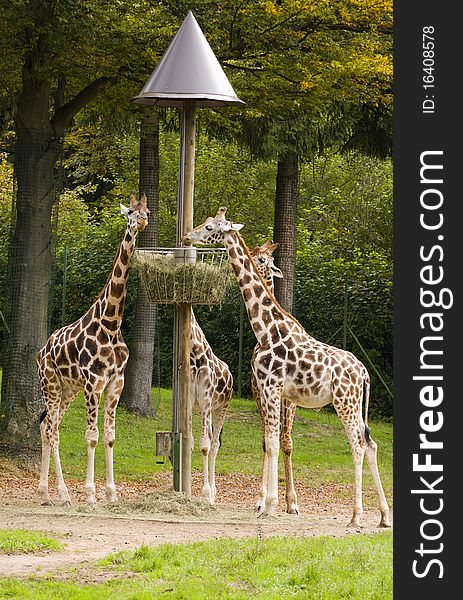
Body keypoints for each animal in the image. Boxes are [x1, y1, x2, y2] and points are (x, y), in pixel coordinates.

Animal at [38, 195, 150, 504]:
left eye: (147, 210)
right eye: (130, 212)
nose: (142, 221)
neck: (111, 324)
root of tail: (40, 352)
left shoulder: (115, 382)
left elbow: (110, 437)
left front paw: (111, 494)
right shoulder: (93, 383)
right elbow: (91, 436)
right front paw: (90, 495)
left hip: (68, 390)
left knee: (46, 426)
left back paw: (45, 493)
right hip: (51, 385)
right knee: (52, 430)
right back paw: (63, 494)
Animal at [185, 209, 392, 528]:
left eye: (209, 228)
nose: (187, 236)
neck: (265, 328)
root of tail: (365, 373)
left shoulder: (270, 388)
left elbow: (272, 442)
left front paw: (270, 504)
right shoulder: (270, 392)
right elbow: (270, 441)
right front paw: (269, 503)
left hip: (344, 402)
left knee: (357, 445)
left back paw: (356, 516)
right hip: (355, 404)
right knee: (370, 444)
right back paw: (382, 516)